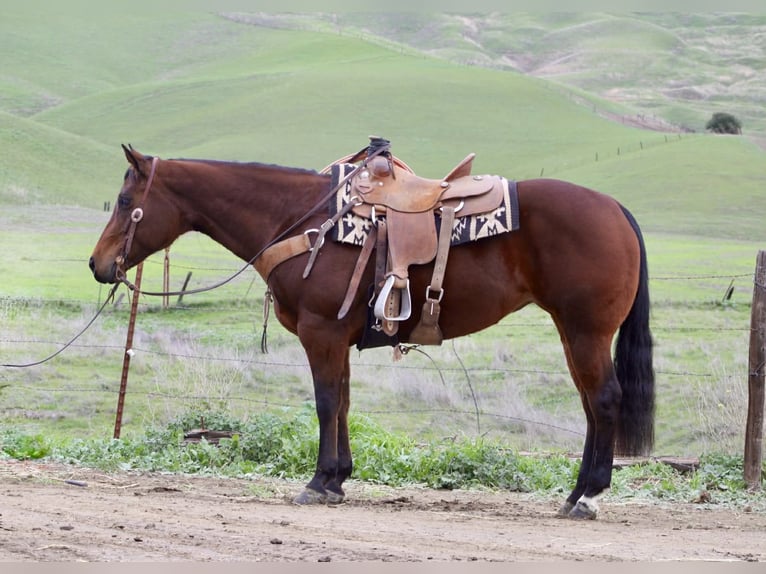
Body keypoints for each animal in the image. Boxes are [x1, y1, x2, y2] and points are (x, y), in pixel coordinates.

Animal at [89, 145, 654, 520]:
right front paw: (338, 478)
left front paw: (319, 481)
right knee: (590, 405)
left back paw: (589, 497)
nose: (97, 264)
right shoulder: (337, 339)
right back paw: (575, 494)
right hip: (573, 332)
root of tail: (616, 209)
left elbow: (325, 402)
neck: (305, 221)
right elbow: (342, 401)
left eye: (122, 198)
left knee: (604, 400)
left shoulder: (320, 332)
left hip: (585, 330)